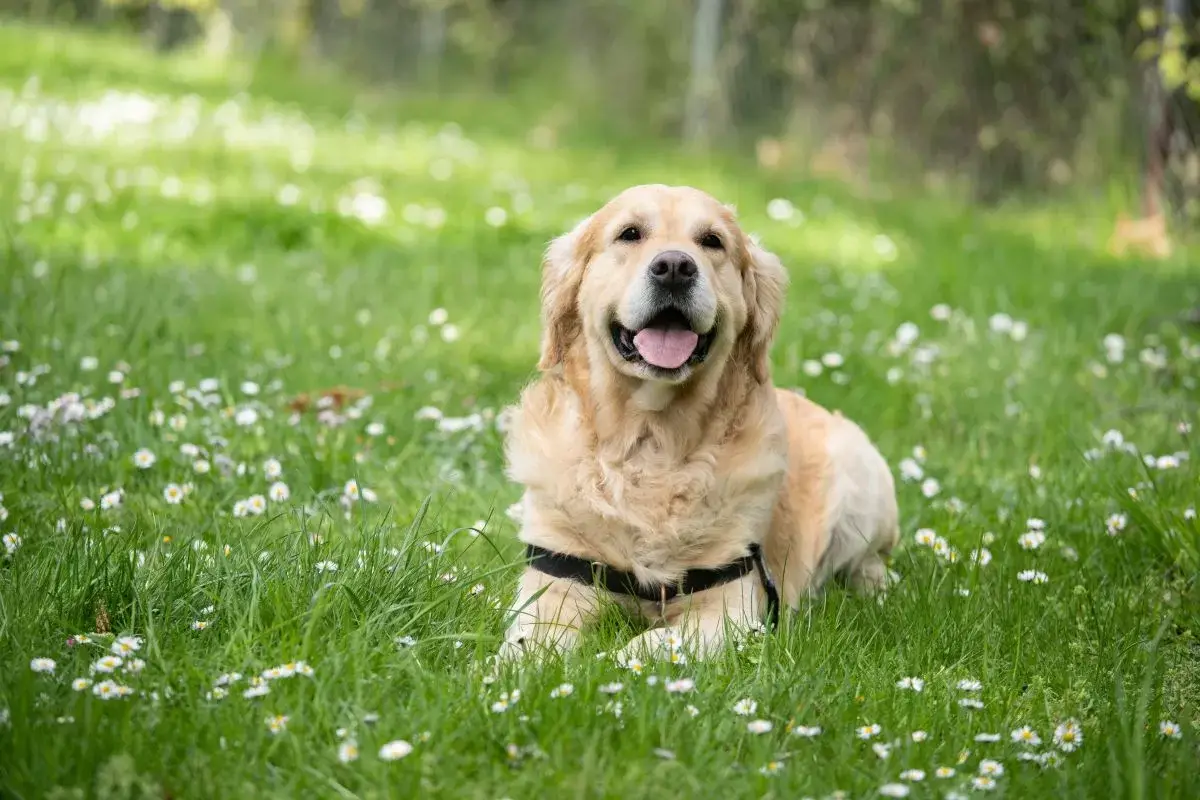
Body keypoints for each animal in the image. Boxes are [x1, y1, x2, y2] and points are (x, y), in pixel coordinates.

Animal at [496, 184, 902, 662]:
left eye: (712, 242)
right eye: (629, 234)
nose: (675, 267)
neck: (652, 441)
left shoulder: (731, 607)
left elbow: (648, 645)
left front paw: (608, 665)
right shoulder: (556, 582)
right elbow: (527, 644)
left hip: (863, 479)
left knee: (869, 562)